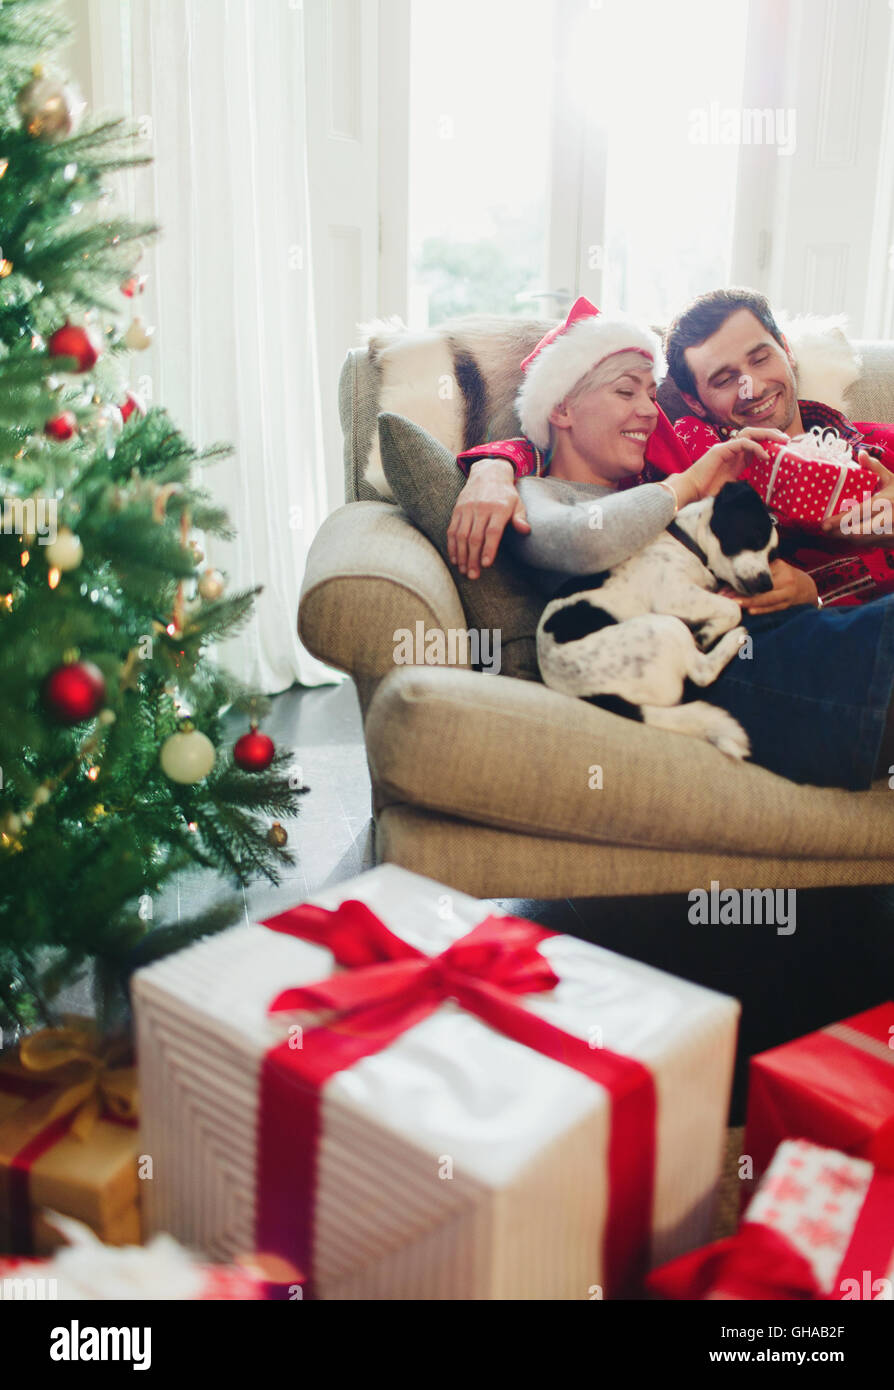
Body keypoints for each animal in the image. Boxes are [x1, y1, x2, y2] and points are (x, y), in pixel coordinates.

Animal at [533, 480, 778, 761]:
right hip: (666, 625)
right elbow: (732, 608)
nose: (768, 585)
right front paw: (709, 632)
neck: (688, 543)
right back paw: (735, 638)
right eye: (756, 536)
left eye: (772, 555)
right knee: (702, 672)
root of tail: (596, 697)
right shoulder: (674, 595)